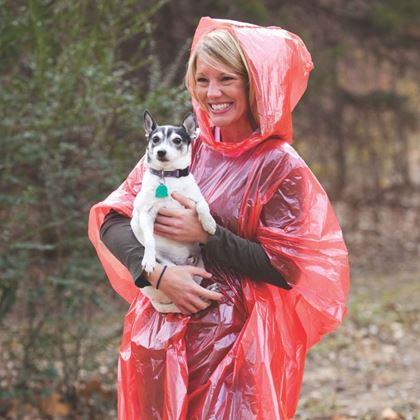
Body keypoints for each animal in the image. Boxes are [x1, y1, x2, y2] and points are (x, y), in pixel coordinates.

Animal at [130, 110, 220, 314]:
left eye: (177, 140)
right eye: (155, 139)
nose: (161, 152)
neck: (167, 178)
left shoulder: (195, 199)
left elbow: (202, 206)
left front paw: (209, 223)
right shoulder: (146, 215)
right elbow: (149, 240)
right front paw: (148, 259)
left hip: (200, 269)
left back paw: (209, 291)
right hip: (170, 269)